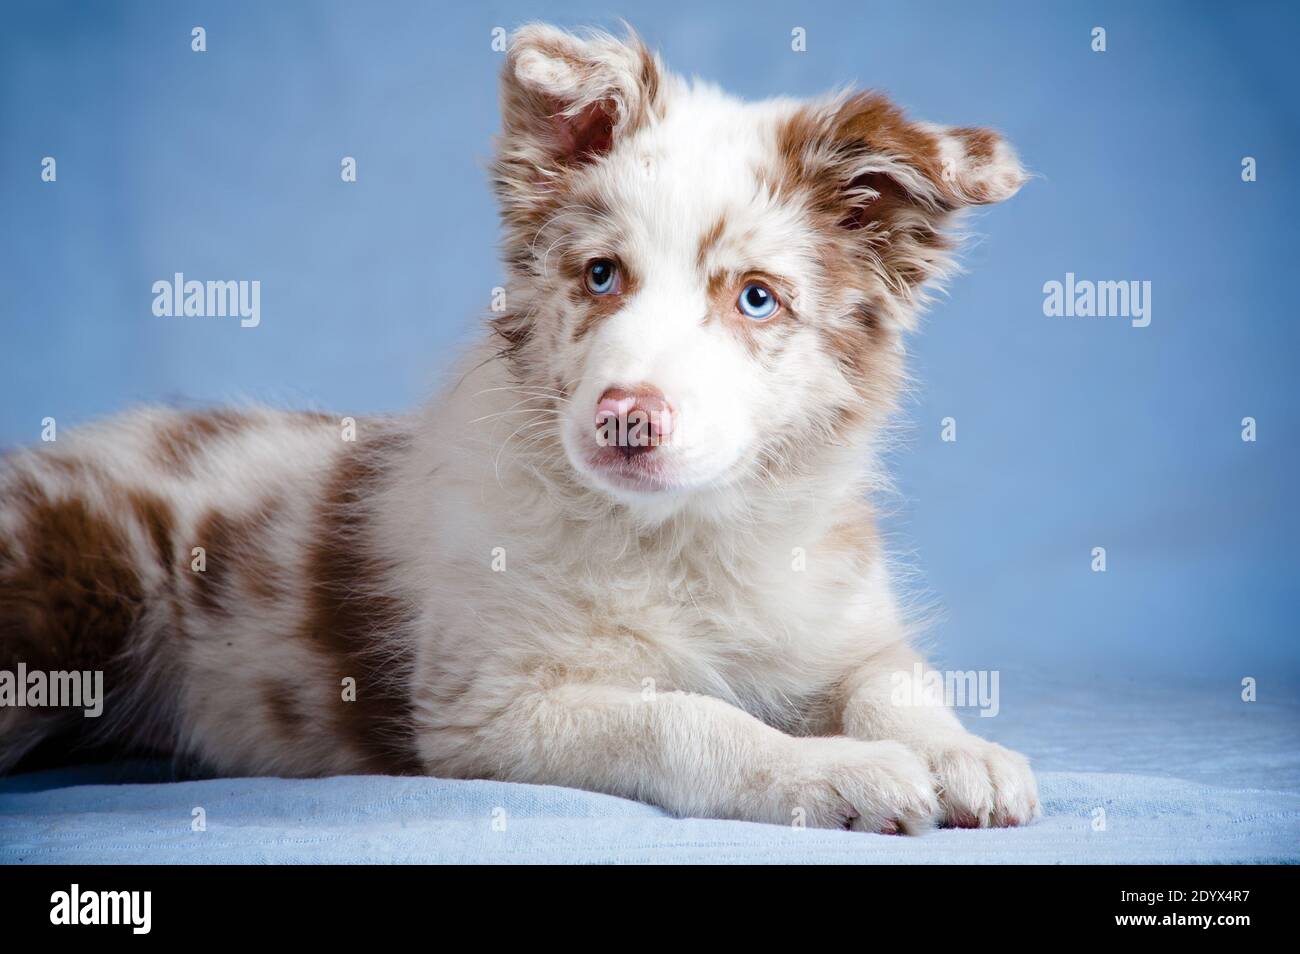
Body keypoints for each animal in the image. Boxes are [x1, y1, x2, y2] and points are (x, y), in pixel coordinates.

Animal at [0, 24, 1040, 837]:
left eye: (756, 298)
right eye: (601, 275)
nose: (627, 419)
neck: (679, 535)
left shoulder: (840, 617)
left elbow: (893, 679)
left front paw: (965, 754)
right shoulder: (488, 708)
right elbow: (685, 717)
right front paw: (829, 771)